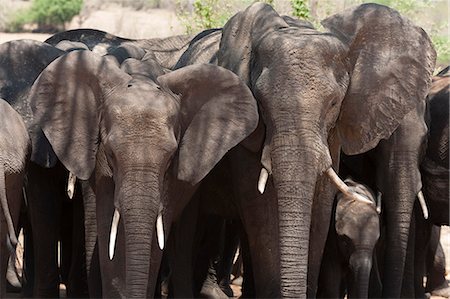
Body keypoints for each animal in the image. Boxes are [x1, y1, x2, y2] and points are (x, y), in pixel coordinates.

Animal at [28, 50, 258, 298]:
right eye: (110, 152)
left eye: (171, 156)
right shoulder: (101, 165)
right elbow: (108, 227)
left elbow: (158, 236)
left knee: (181, 241)